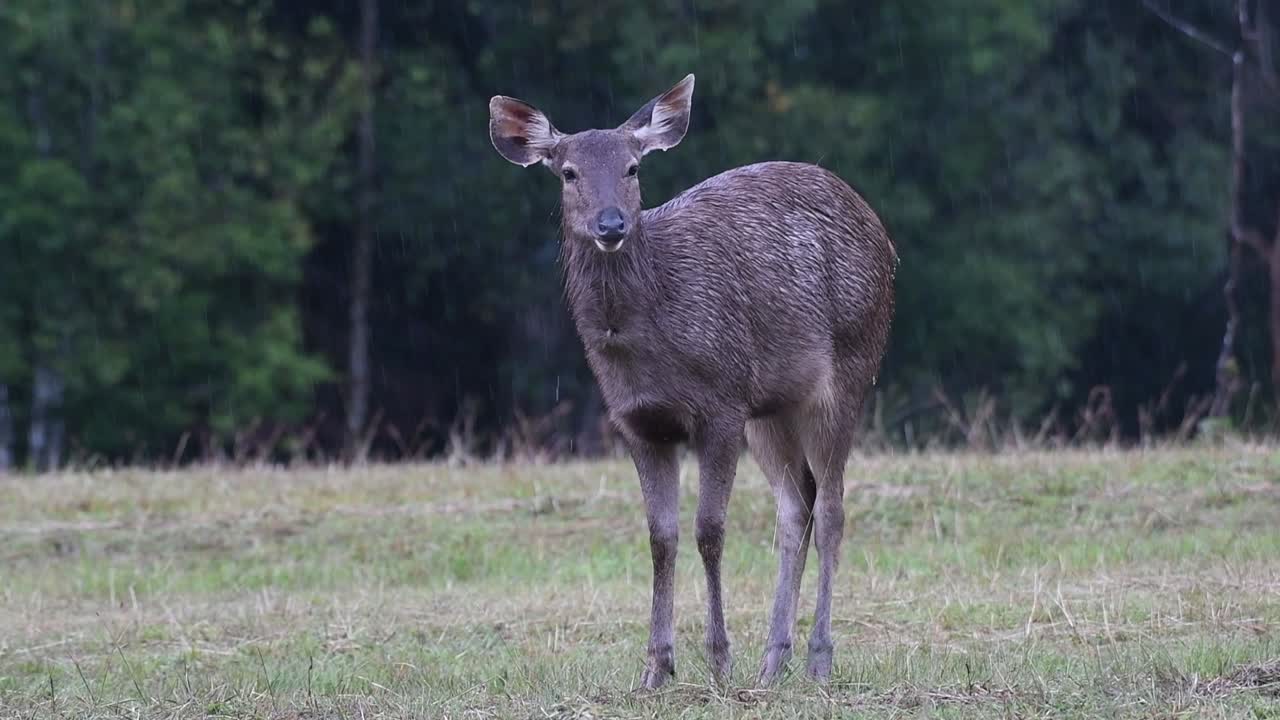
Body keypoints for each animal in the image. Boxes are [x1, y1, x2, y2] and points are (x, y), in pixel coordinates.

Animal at [488, 74, 896, 689]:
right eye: (568, 172)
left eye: (633, 167)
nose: (612, 225)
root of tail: (884, 238)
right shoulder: (636, 422)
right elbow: (662, 536)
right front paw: (657, 667)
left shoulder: (721, 403)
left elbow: (709, 529)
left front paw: (719, 658)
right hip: (771, 408)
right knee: (795, 506)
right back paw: (773, 660)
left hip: (848, 368)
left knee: (830, 509)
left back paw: (818, 658)